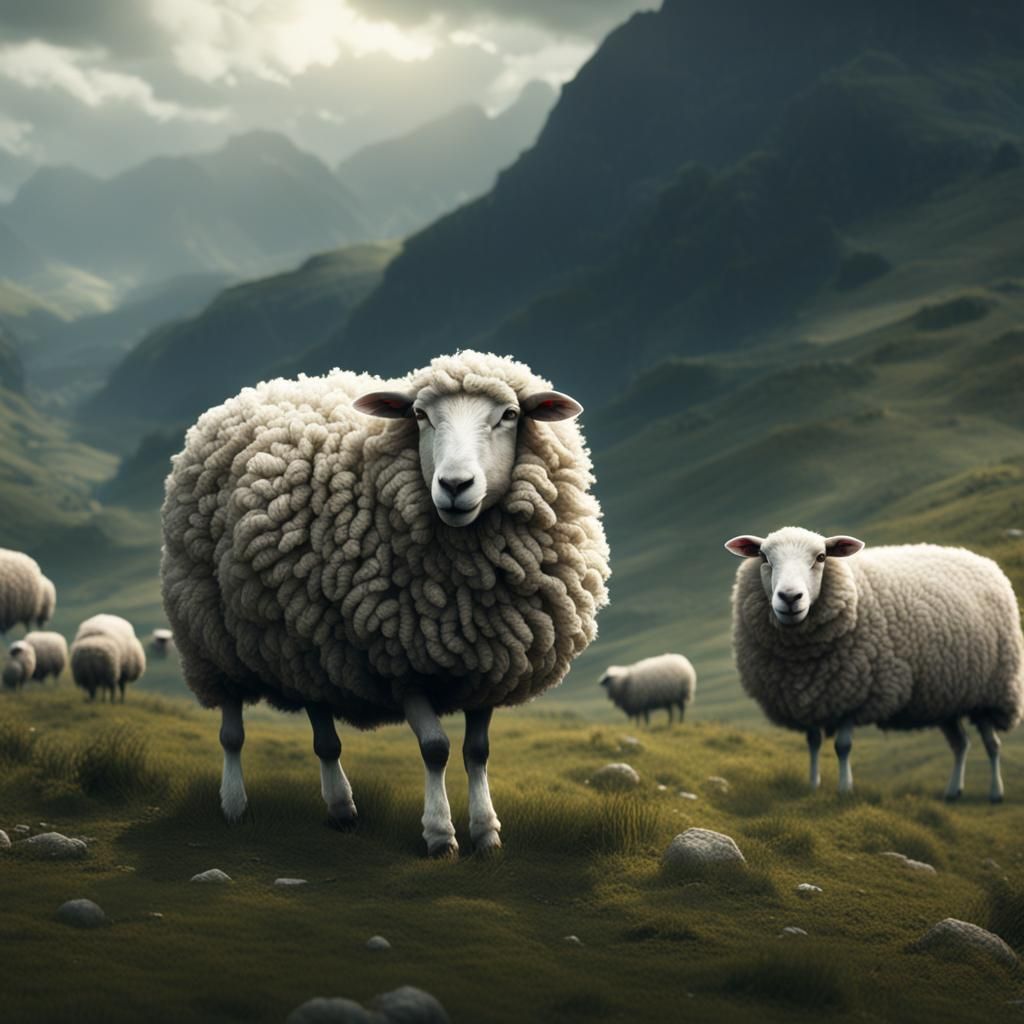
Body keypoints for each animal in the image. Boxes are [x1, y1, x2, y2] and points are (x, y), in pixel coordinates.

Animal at [162, 350, 610, 856]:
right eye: (419, 415)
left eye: (510, 415)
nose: (455, 485)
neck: (462, 597)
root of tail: (254, 391)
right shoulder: (399, 662)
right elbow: (435, 749)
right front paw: (439, 834)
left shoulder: (489, 664)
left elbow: (477, 752)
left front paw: (486, 832)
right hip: (210, 636)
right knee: (232, 731)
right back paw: (235, 805)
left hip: (306, 642)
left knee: (323, 731)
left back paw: (341, 808)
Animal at [726, 527, 1024, 801]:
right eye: (763, 556)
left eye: (821, 557)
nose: (789, 597)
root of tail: (983, 562)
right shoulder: (808, 699)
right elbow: (813, 742)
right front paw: (812, 786)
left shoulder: (854, 693)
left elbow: (843, 746)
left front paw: (845, 789)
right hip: (947, 696)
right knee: (960, 744)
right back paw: (953, 791)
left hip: (990, 691)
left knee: (992, 744)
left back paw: (995, 792)